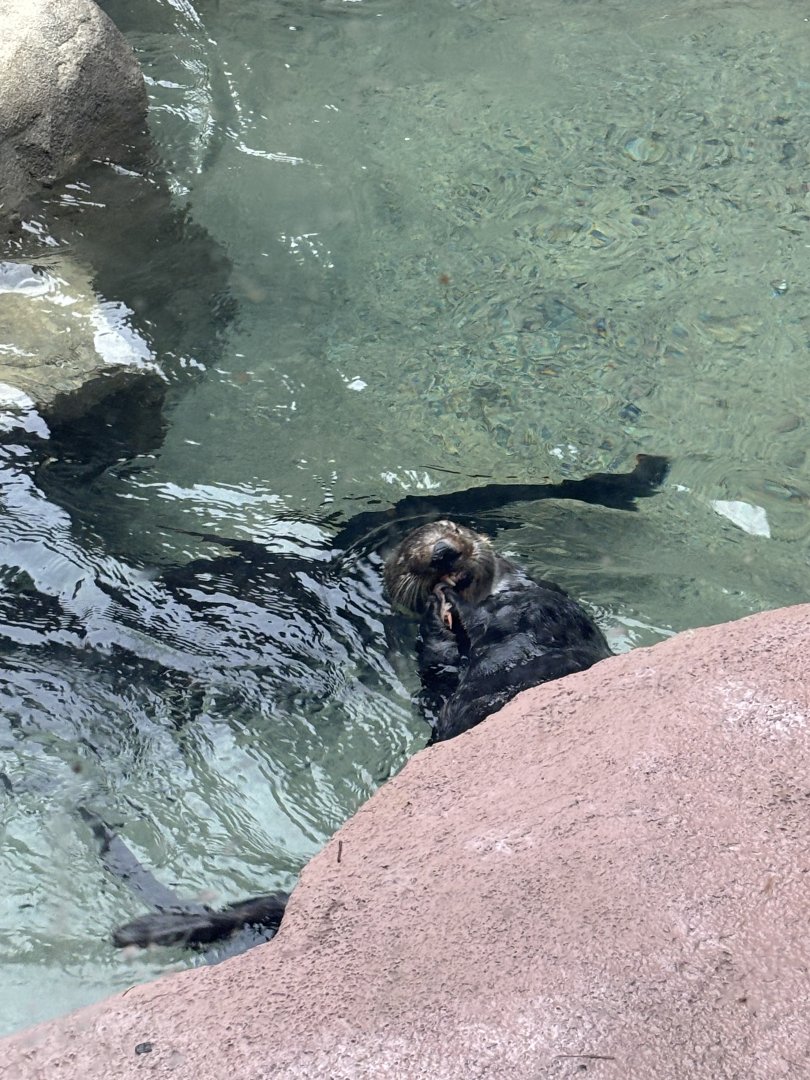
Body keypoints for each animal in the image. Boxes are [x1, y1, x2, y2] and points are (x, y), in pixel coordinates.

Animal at [384, 520, 613, 742]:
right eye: (407, 557)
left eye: (455, 530)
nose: (441, 551)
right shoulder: (437, 676)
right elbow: (439, 667)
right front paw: (435, 611)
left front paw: (451, 598)